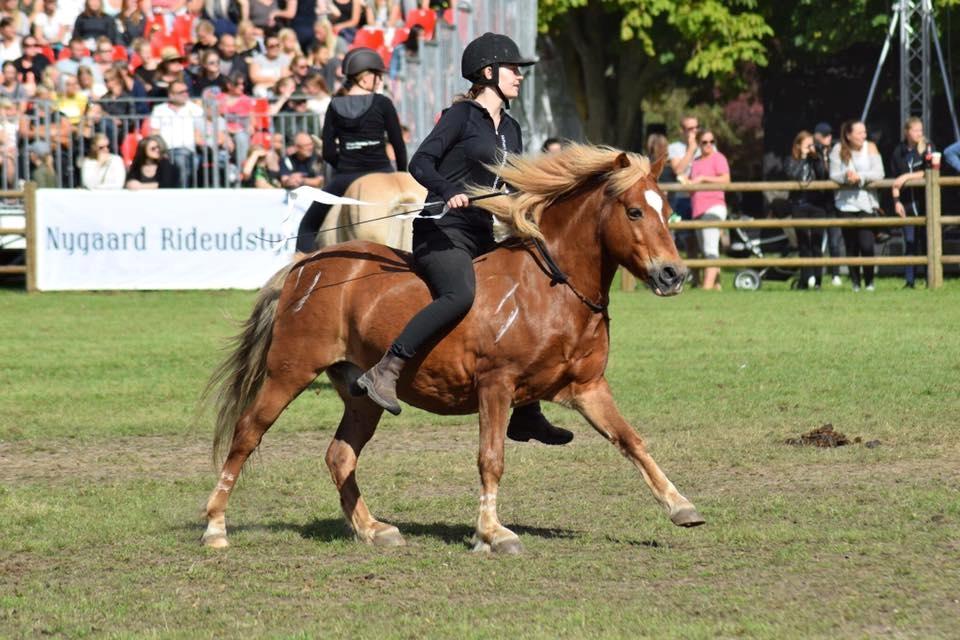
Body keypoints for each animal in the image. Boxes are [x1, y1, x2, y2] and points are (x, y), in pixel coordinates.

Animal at [202, 142, 700, 552]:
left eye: (666, 211)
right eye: (634, 212)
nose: (673, 274)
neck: (552, 287)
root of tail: (309, 266)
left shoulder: (589, 387)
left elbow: (631, 441)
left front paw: (680, 506)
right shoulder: (495, 385)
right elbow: (491, 459)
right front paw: (493, 533)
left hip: (360, 394)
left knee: (340, 455)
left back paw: (372, 529)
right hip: (289, 372)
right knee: (247, 434)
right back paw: (215, 527)